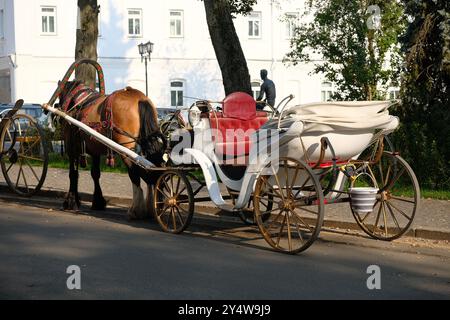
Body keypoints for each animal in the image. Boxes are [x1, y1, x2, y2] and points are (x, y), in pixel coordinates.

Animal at [56, 80, 167, 220]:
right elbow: (95, 174)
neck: (77, 101)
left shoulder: (72, 149)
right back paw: (155, 206)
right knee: (152, 170)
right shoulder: (95, 151)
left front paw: (71, 201)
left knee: (136, 173)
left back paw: (136, 209)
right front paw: (98, 201)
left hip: (127, 148)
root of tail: (140, 98)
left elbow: (73, 174)